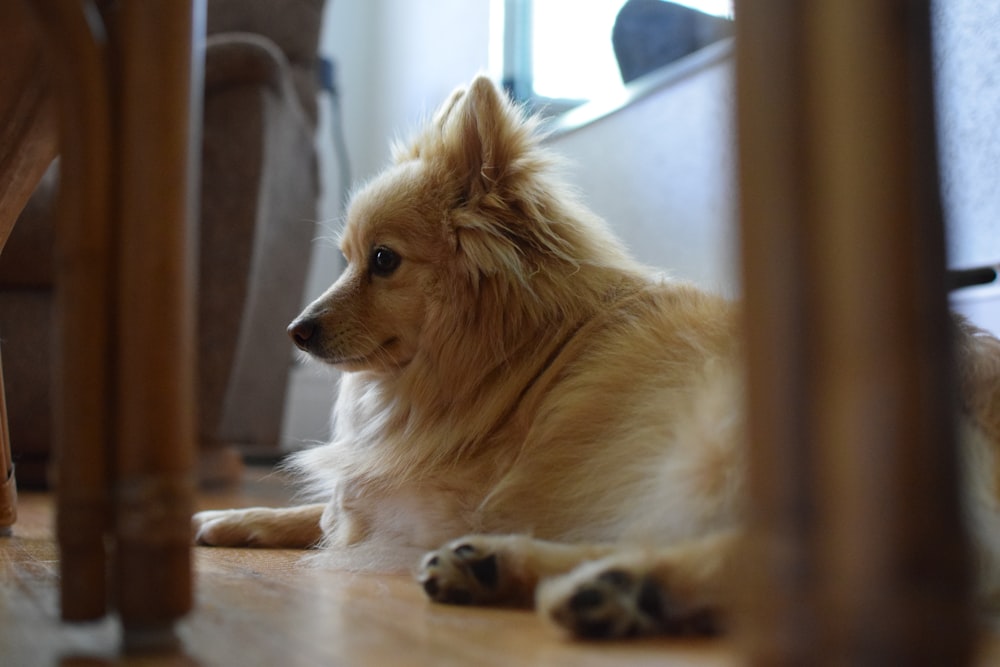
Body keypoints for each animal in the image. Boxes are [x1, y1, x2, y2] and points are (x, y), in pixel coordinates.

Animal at [193, 75, 1000, 640]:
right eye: (345, 260)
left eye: (383, 262)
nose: (295, 330)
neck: (511, 353)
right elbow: (313, 509)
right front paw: (228, 518)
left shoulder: (427, 494)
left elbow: (343, 506)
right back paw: (521, 571)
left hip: (717, 439)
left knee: (786, 561)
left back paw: (621, 590)